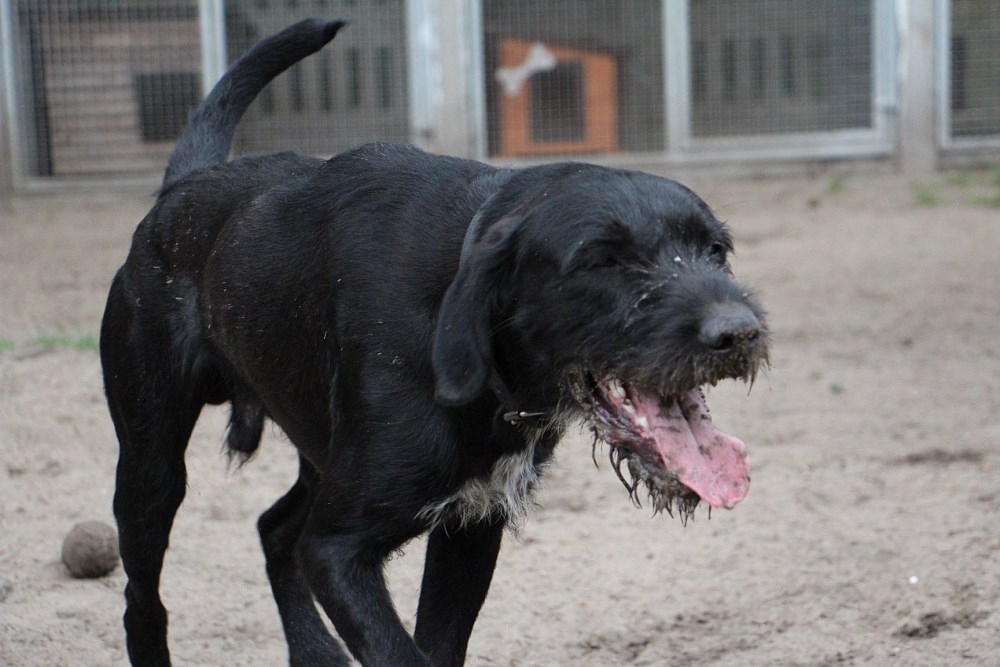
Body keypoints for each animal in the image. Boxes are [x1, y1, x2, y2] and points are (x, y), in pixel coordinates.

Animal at [101, 19, 769, 666]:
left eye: (716, 250)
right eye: (601, 261)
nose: (739, 332)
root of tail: (183, 187)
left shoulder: (470, 527)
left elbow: (437, 643)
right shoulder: (338, 550)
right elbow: (399, 650)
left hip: (318, 450)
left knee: (273, 527)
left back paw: (315, 651)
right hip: (151, 468)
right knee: (142, 600)